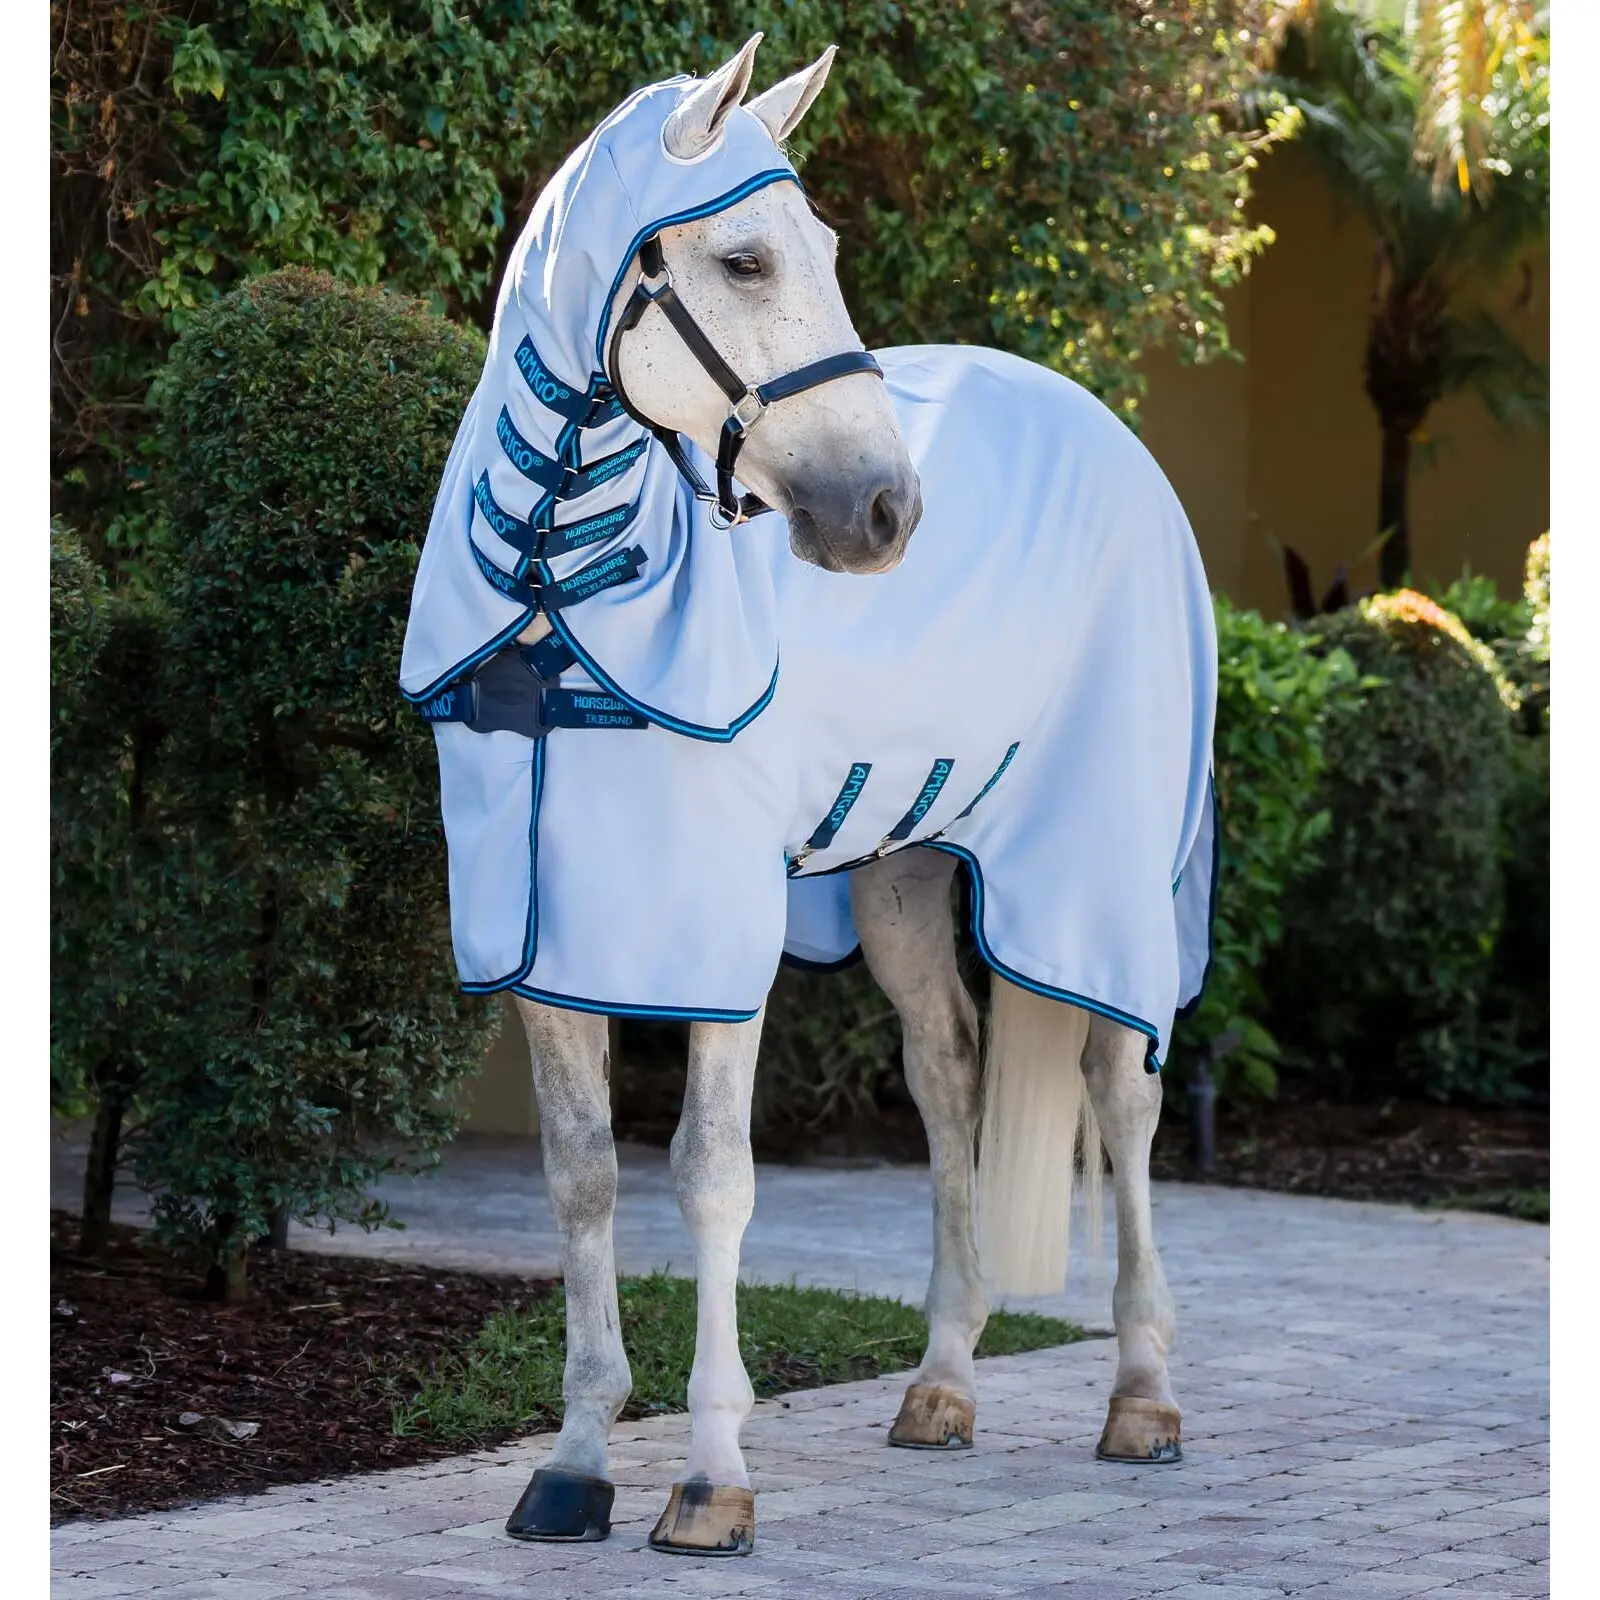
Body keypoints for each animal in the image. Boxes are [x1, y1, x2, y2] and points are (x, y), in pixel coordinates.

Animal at [401, 34, 1217, 1557]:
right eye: (742, 259)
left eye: (822, 250)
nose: (889, 514)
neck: (561, 593)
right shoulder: (544, 942)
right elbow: (583, 1177)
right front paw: (578, 1462)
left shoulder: (713, 934)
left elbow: (711, 1178)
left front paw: (712, 1474)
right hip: (898, 872)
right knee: (949, 1075)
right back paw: (943, 1381)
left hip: (1100, 870)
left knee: (1119, 1093)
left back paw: (1142, 1394)